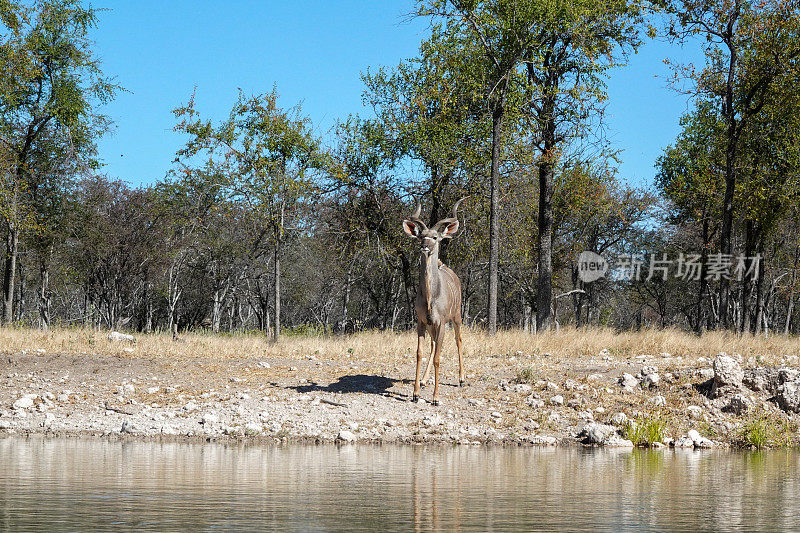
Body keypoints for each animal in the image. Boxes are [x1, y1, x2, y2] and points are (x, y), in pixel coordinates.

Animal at [404, 198, 466, 404]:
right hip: (433, 326)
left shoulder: (441, 322)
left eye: (436, 237)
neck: (432, 297)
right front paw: (415, 393)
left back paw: (462, 379)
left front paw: (436, 398)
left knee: (458, 340)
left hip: (456, 318)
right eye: (420, 236)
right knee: (432, 346)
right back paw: (424, 381)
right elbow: (419, 353)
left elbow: (439, 356)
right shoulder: (422, 321)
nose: (424, 246)